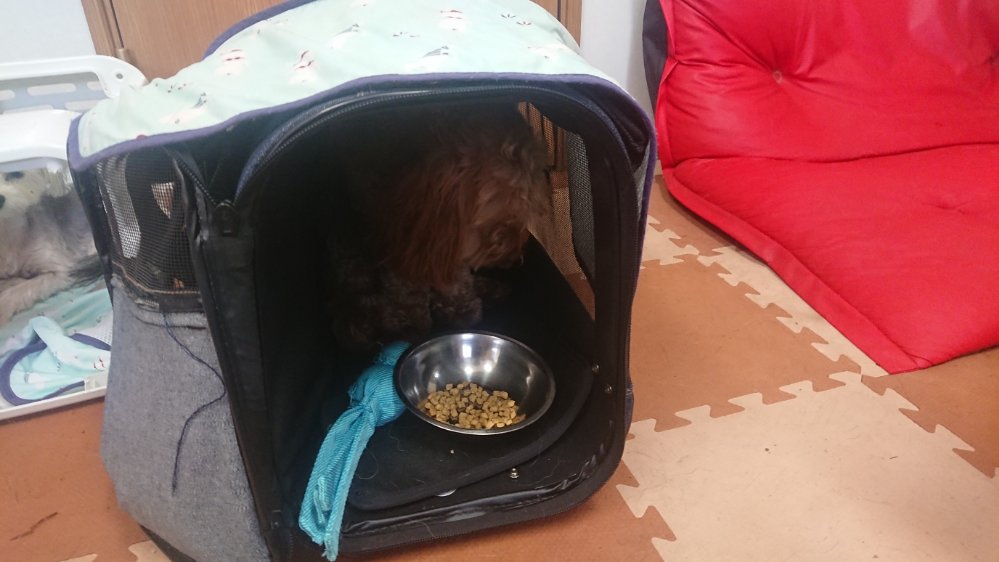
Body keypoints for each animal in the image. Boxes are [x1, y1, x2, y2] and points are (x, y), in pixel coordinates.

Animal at [325, 103, 552, 350]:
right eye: (500, 221)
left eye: (528, 212)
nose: (513, 259)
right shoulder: (401, 230)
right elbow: (404, 282)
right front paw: (410, 321)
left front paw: (460, 307)